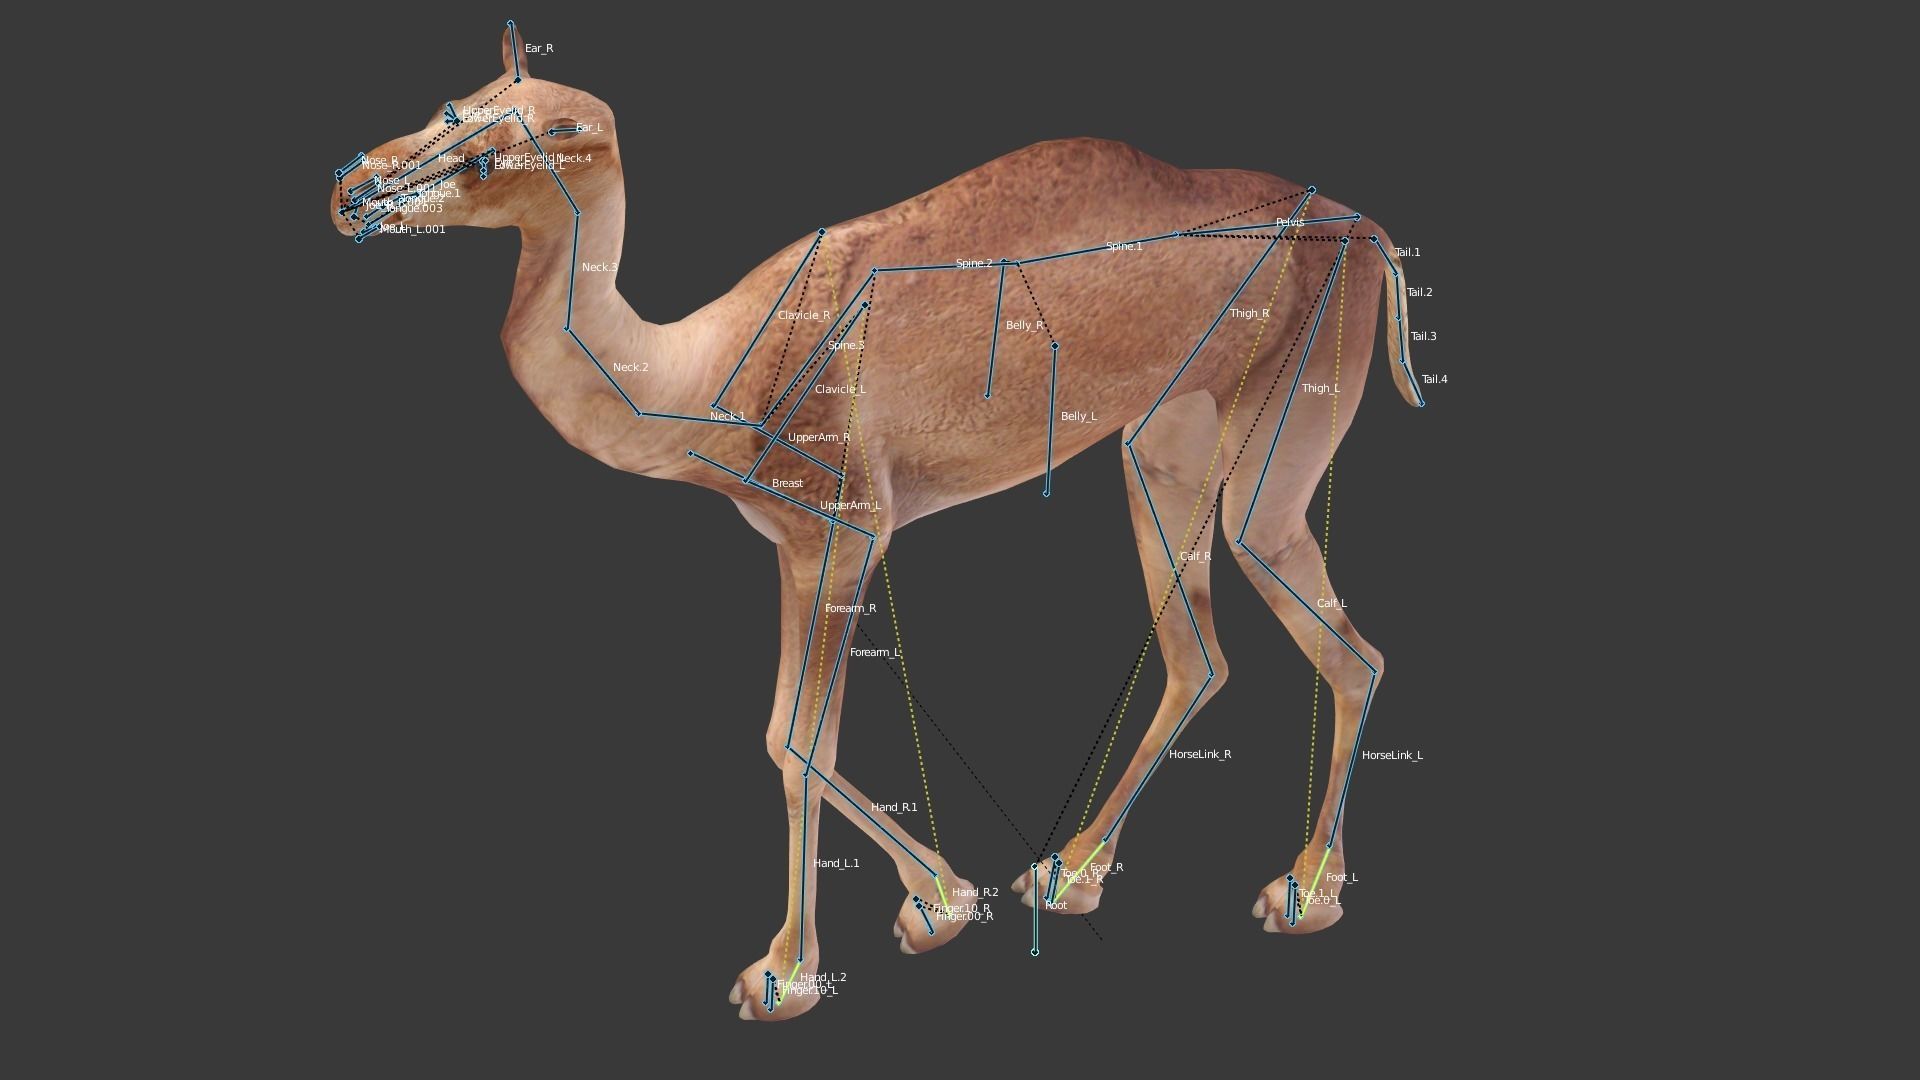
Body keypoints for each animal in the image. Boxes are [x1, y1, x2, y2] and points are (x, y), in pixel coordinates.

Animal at [331, 24, 1423, 1021]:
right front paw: (939, 900)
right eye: (451, 106)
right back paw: (1069, 874)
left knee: (1345, 647)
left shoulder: (849, 533)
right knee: (1201, 655)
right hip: (1161, 447)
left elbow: (800, 741)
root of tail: (1368, 230)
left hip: (1278, 444)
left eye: (522, 138)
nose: (355, 189)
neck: (703, 377)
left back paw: (1303, 891)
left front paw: (788, 971)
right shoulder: (792, 547)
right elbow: (782, 733)